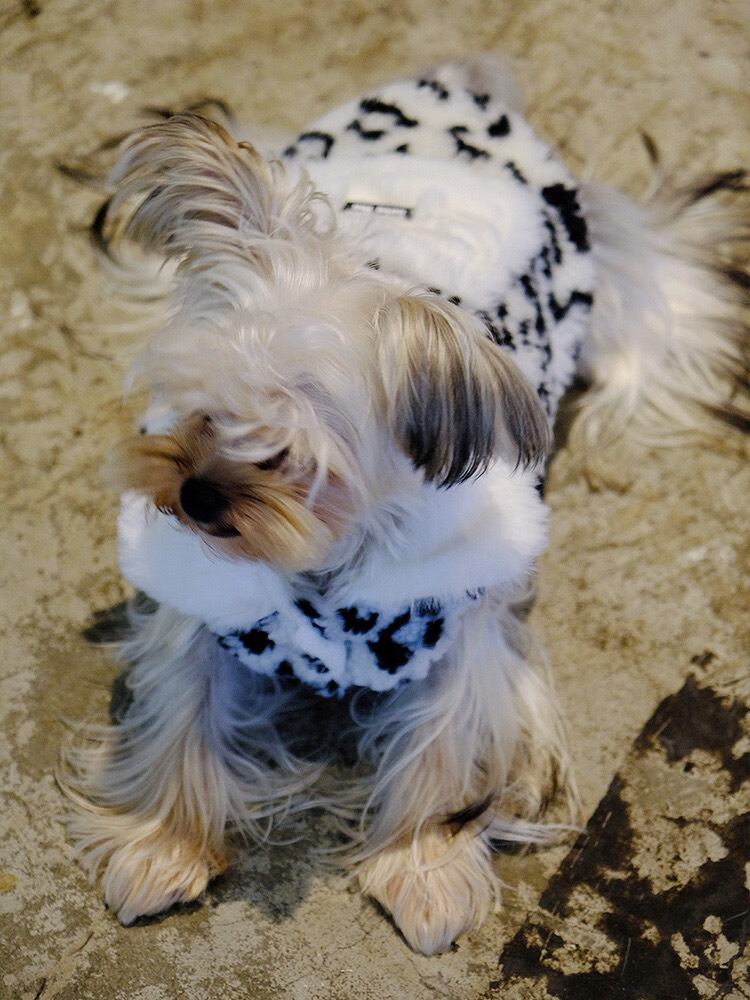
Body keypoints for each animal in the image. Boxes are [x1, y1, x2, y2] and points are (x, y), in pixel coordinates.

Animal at [62, 57, 749, 955]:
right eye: (197, 413)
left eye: (288, 458)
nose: (196, 495)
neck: (319, 566)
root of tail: (460, 82)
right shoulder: (208, 606)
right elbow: (183, 711)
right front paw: (162, 846)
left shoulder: (452, 627)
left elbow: (444, 744)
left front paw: (424, 871)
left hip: (614, 270)